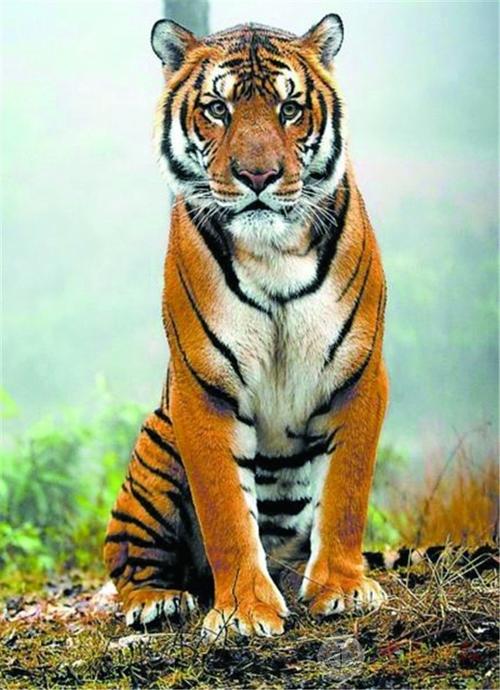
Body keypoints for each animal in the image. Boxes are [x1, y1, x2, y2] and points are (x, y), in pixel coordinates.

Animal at [104, 14, 390, 641]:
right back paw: (158, 601)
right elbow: (227, 512)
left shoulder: (359, 375)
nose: (258, 175)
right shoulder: (203, 390)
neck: (274, 253)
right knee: (128, 561)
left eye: (289, 108)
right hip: (153, 452)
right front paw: (242, 611)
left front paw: (343, 589)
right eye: (218, 108)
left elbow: (346, 494)